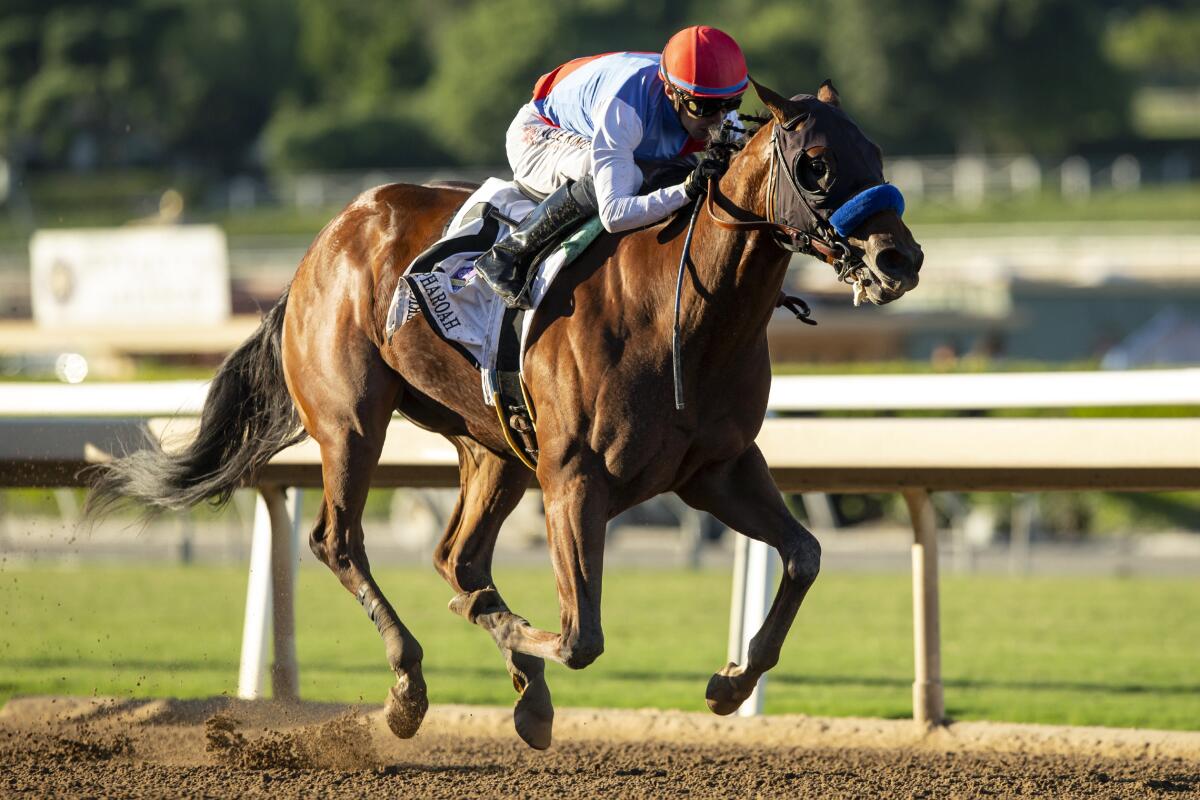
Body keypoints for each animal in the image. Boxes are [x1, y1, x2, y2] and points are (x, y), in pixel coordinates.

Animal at [88, 81, 921, 753]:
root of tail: (323, 243)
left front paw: (730, 683)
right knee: (340, 541)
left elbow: (805, 554)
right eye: (814, 162)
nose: (899, 260)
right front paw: (522, 637)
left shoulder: (716, 469)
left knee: (457, 557)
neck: (681, 313)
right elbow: (581, 636)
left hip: (493, 447)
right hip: (353, 421)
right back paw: (410, 690)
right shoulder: (575, 478)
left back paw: (522, 693)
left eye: (877, 152)